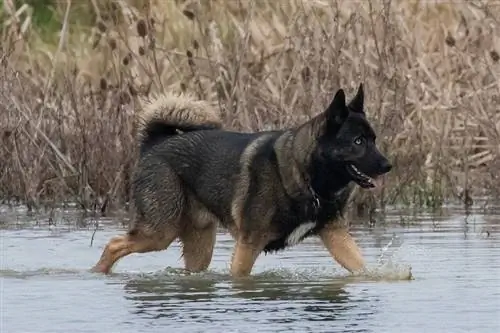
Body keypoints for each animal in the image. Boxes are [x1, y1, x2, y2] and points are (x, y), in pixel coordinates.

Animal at [92, 84, 392, 276]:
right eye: (358, 141)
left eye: (374, 139)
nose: (388, 166)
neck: (307, 175)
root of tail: (155, 142)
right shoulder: (249, 244)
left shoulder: (335, 234)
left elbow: (361, 266)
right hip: (159, 232)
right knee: (113, 244)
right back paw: (97, 273)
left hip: (199, 244)